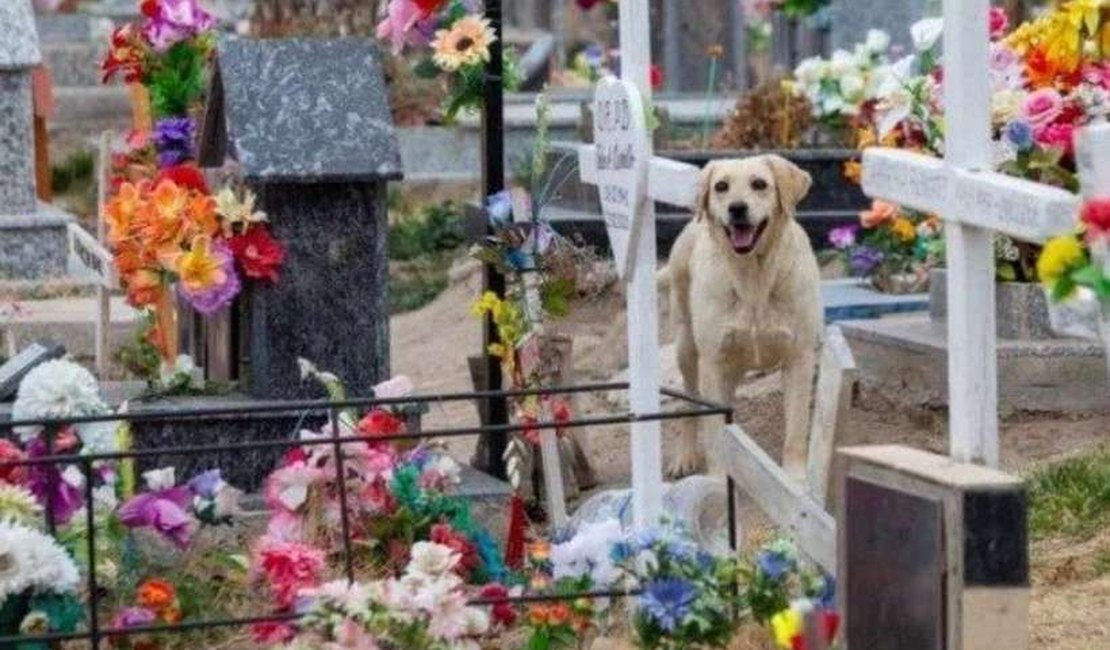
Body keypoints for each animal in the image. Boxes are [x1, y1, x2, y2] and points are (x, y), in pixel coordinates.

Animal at [661, 151, 821, 474]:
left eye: (759, 184)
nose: (736, 208)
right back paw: (686, 455)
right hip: (687, 347)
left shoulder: (799, 357)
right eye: (721, 186)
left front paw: (795, 479)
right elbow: (715, 432)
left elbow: (796, 431)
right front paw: (719, 477)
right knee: (689, 402)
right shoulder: (713, 362)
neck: (753, 279)